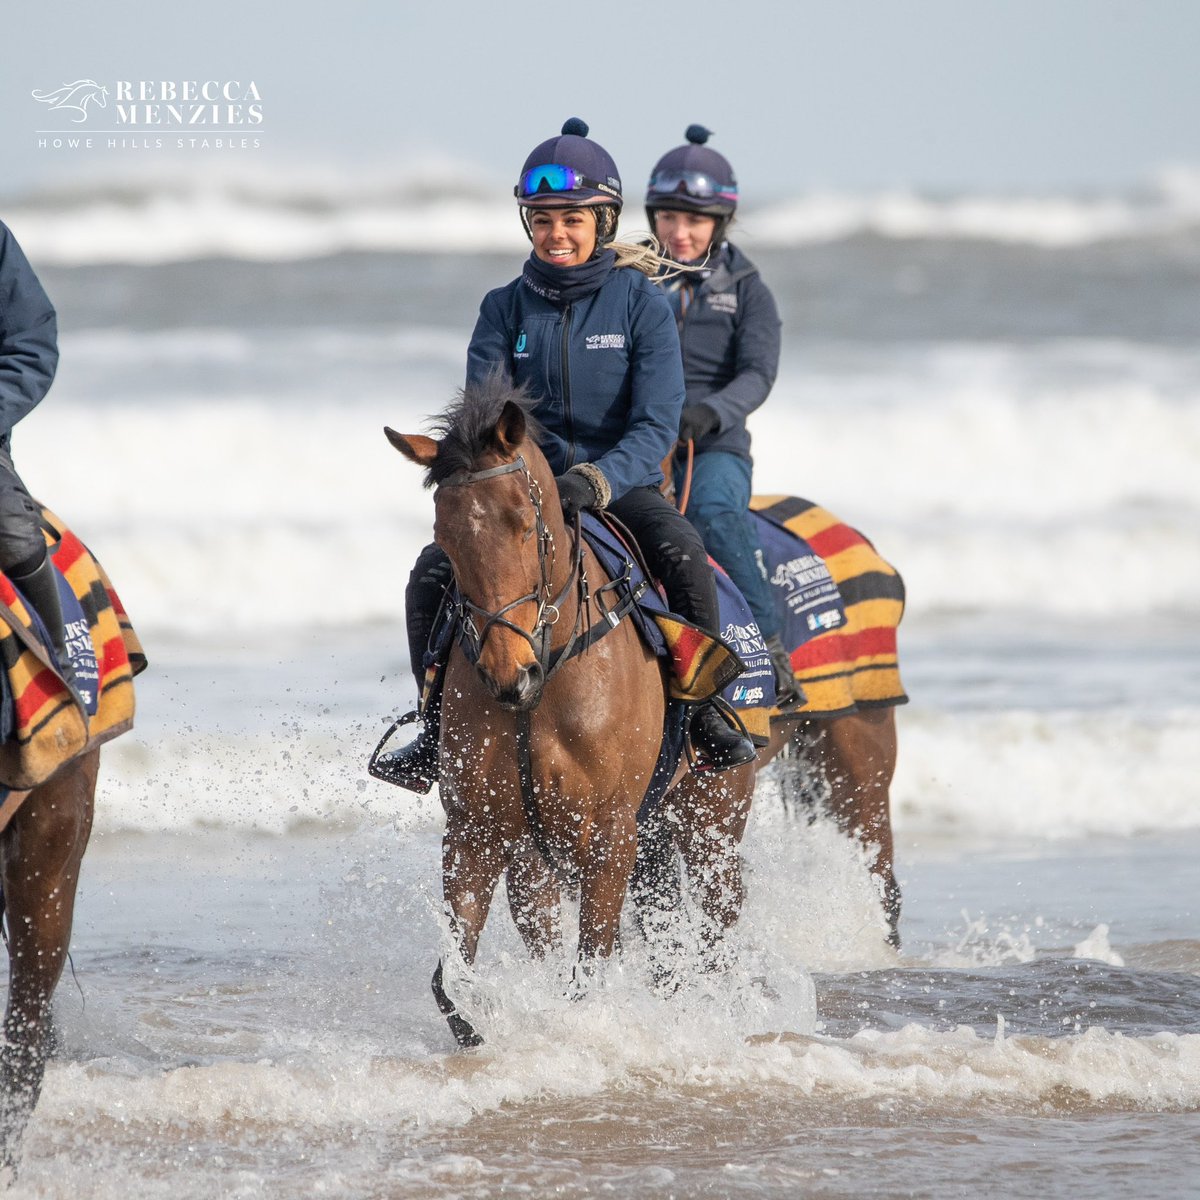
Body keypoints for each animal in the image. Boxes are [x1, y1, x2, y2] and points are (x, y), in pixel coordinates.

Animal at [384, 378, 757, 1046]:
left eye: (524, 520)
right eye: (445, 536)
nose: (510, 674)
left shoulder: (609, 838)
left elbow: (588, 977)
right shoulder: (479, 834)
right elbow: (451, 979)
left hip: (710, 826)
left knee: (717, 933)